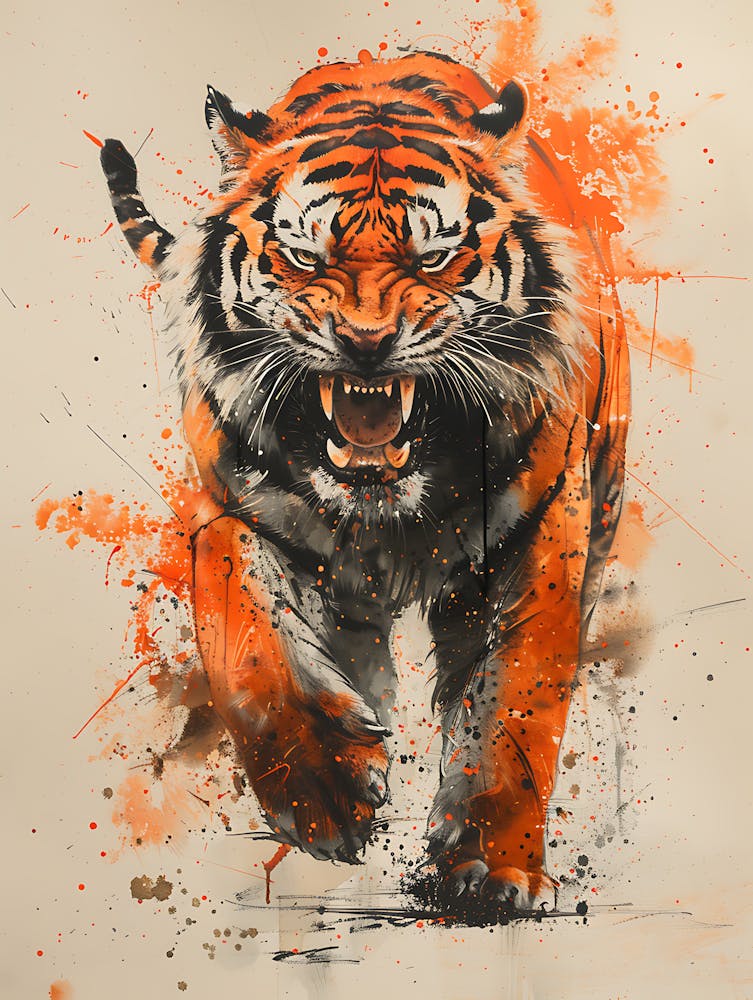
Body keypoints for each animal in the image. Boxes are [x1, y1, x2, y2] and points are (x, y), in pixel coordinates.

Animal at [100, 49, 629, 916]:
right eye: (306, 258)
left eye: (433, 259)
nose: (365, 343)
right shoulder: (229, 507)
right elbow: (252, 657)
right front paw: (327, 792)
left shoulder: (544, 524)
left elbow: (516, 697)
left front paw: (491, 869)